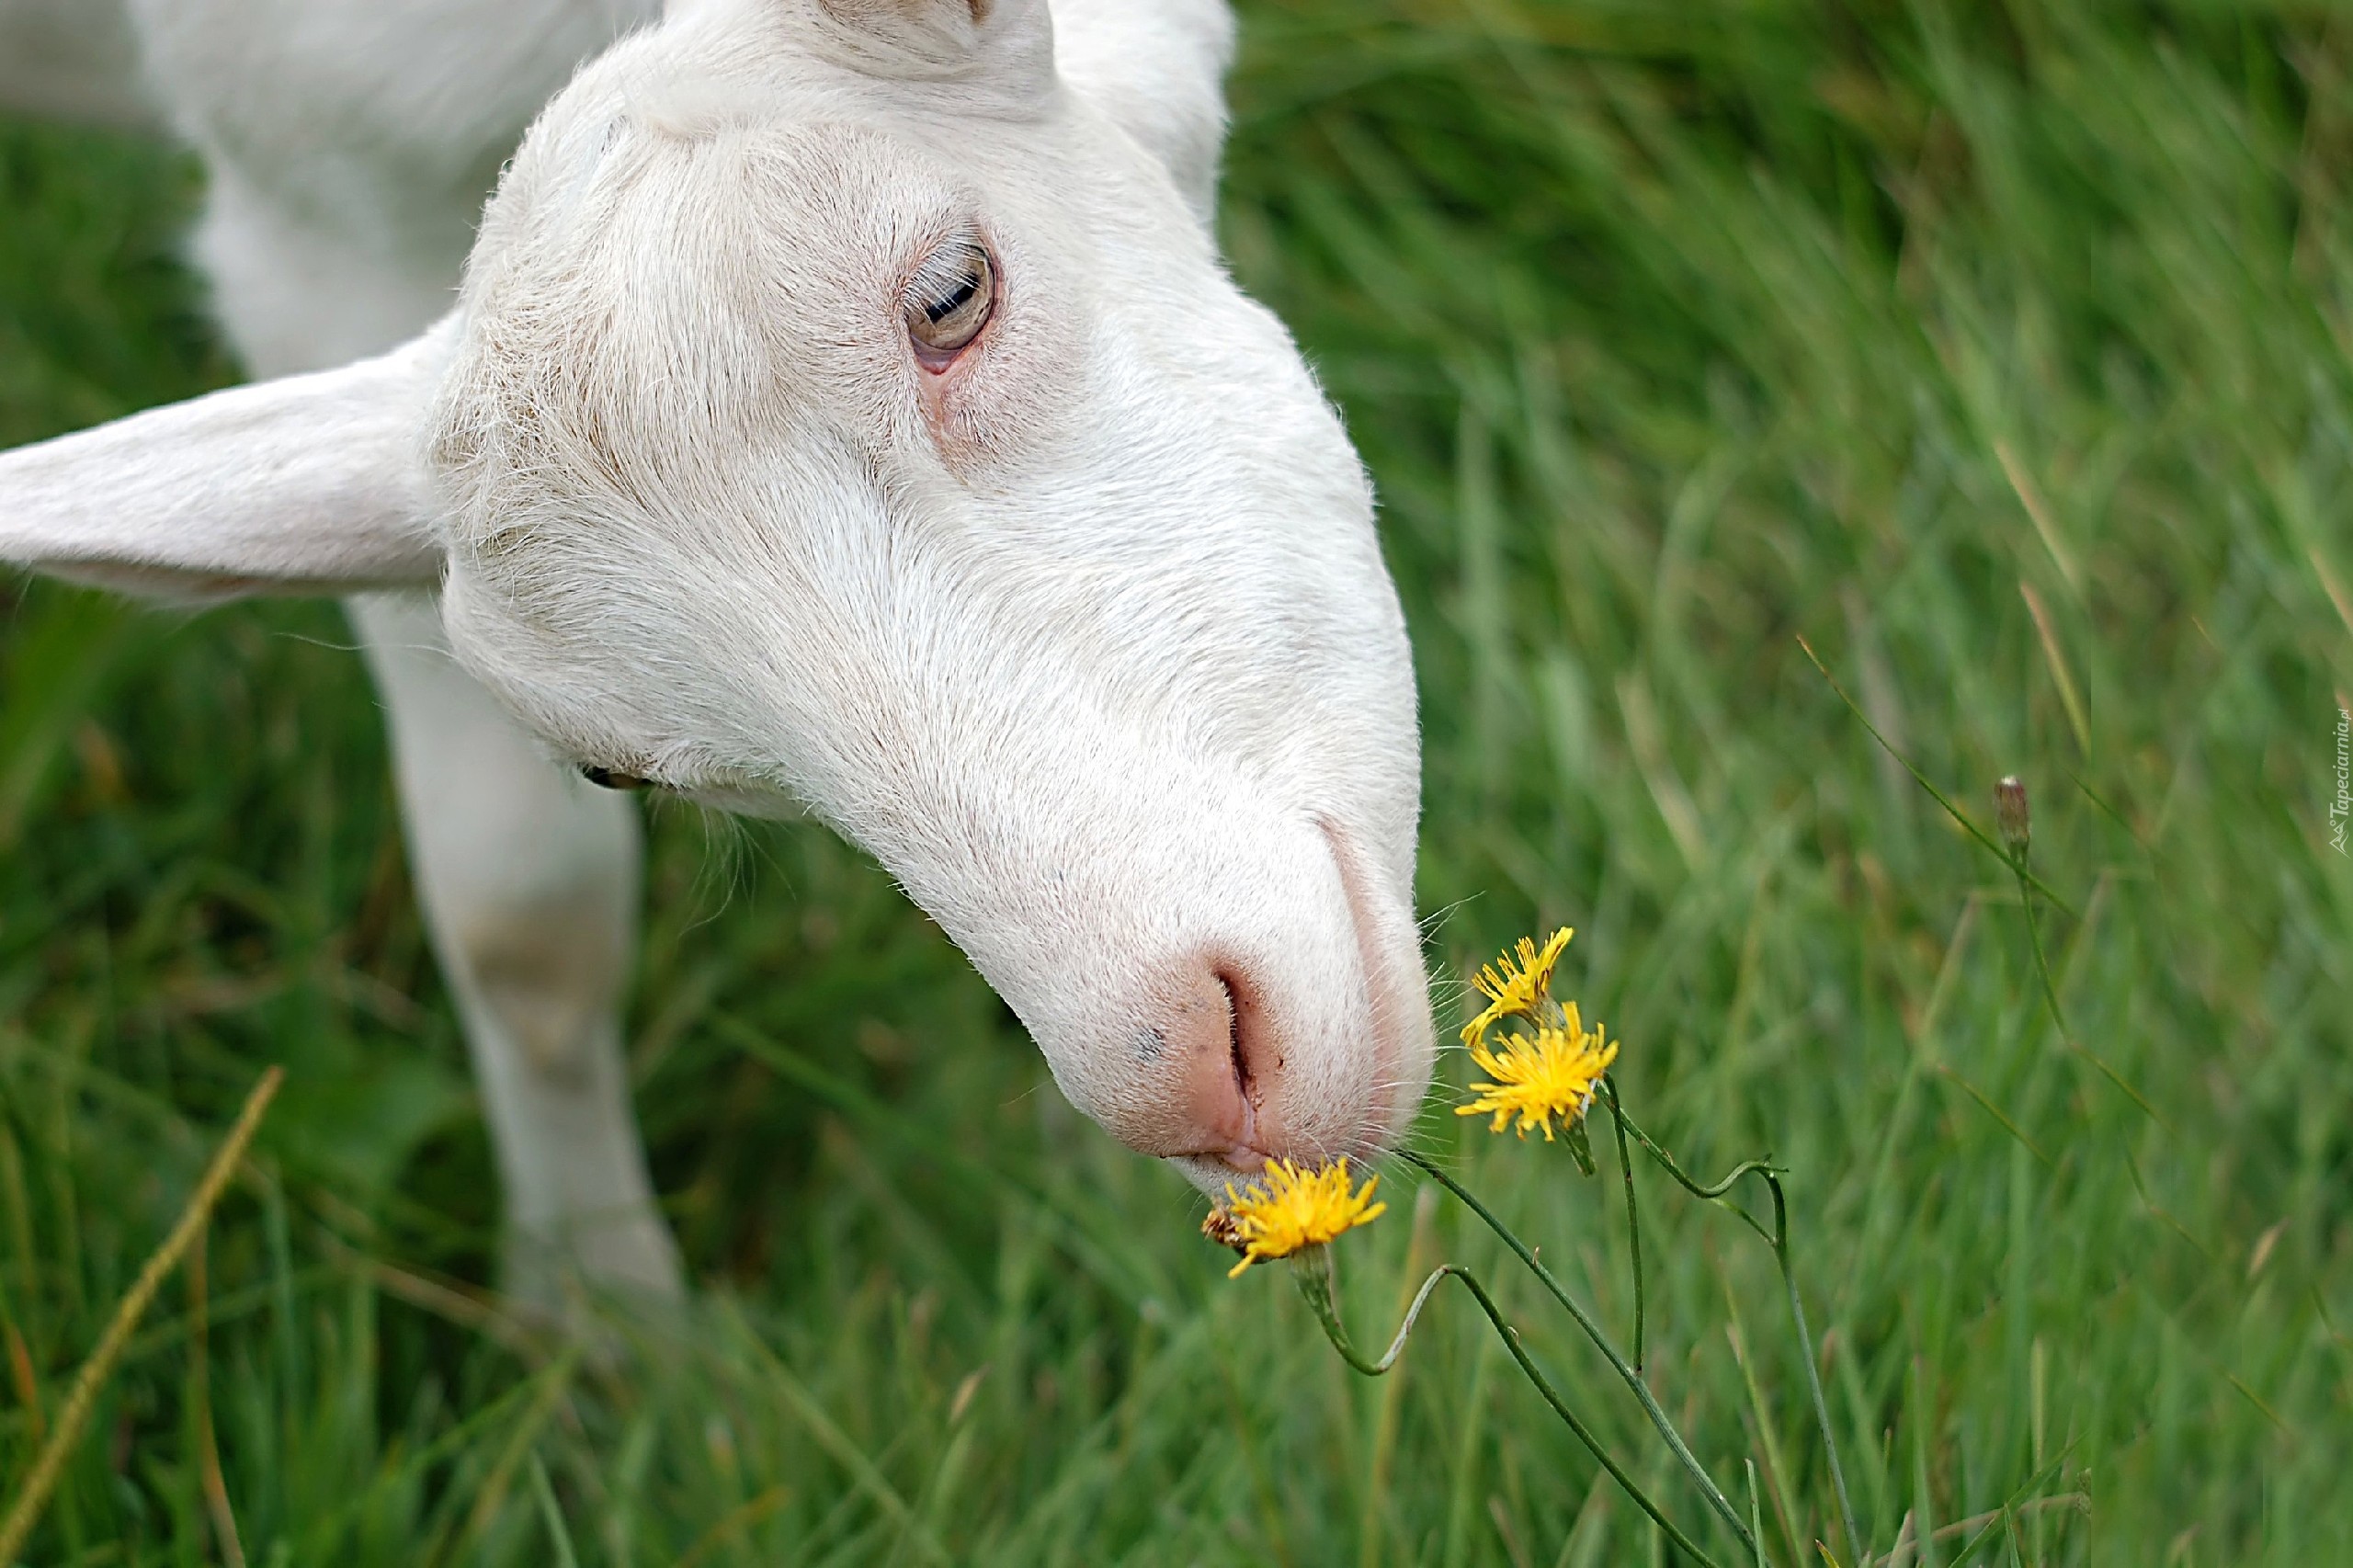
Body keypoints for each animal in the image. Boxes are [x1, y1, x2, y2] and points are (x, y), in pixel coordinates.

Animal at [0, 0, 1430, 1290]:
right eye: (613, 771)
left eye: (953, 292)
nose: (1192, 1076)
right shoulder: (314, 209)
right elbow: (523, 925)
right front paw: (606, 1324)